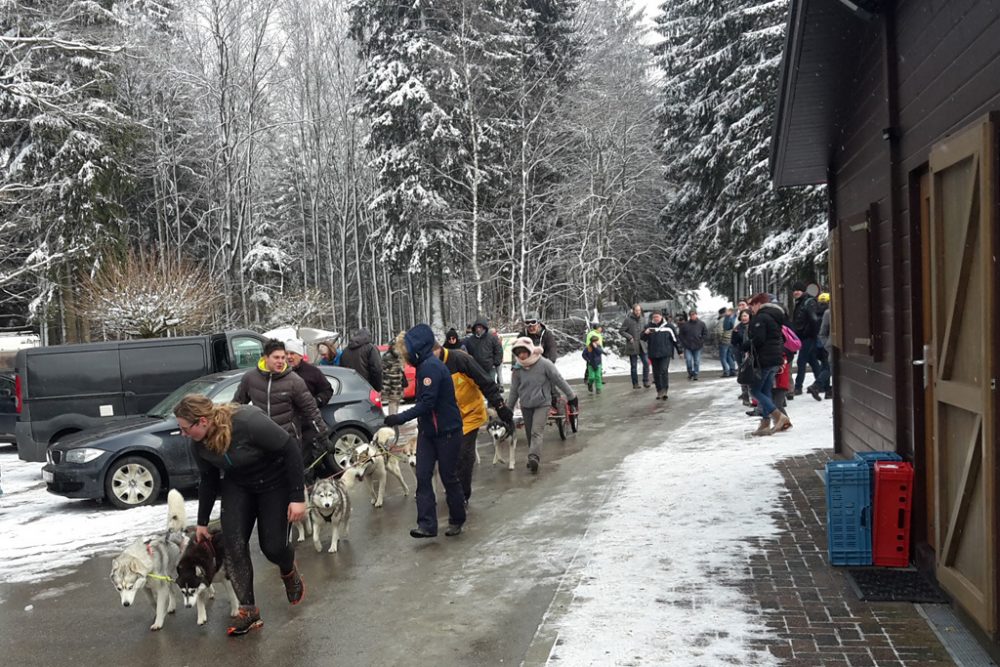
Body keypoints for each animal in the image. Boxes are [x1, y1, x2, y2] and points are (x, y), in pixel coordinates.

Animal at [111, 488, 188, 628]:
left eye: (130, 587)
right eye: (119, 589)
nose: (125, 604)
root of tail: (173, 534)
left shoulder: (161, 588)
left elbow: (159, 605)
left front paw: (158, 622)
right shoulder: (146, 589)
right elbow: (153, 603)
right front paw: (158, 614)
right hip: (168, 577)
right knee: (172, 593)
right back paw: (171, 607)